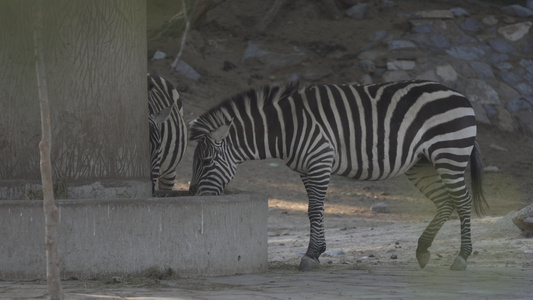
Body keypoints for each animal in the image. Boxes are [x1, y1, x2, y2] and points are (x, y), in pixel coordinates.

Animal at [187, 79, 486, 272]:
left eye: (207, 161)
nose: (195, 197)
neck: (284, 128)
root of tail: (461, 96)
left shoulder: (320, 160)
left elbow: (314, 209)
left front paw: (310, 255)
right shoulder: (306, 169)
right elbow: (314, 210)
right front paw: (317, 251)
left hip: (449, 154)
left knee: (462, 201)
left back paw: (461, 258)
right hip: (421, 164)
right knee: (445, 202)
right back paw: (423, 250)